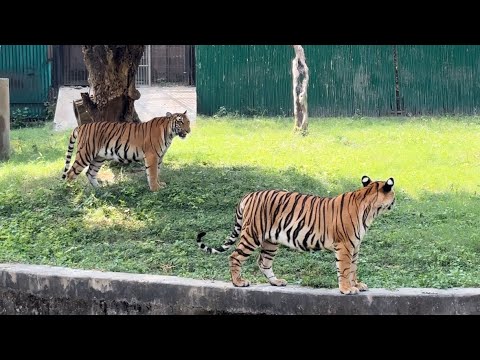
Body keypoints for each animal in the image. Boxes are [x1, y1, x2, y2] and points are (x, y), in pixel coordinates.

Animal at [62, 112, 191, 191]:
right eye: (180, 122)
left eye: (188, 122)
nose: (188, 131)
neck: (170, 134)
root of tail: (81, 126)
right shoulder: (152, 156)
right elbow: (153, 173)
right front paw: (155, 189)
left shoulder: (160, 157)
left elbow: (157, 172)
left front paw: (160, 184)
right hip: (85, 154)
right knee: (70, 173)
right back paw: (70, 191)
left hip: (98, 158)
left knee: (90, 173)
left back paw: (99, 189)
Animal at [197, 176, 396, 294]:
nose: (395, 202)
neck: (370, 210)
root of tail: (248, 195)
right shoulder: (345, 245)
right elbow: (345, 269)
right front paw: (347, 289)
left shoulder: (355, 246)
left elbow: (353, 268)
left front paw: (357, 285)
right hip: (252, 235)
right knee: (235, 256)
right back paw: (238, 282)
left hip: (270, 241)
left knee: (263, 262)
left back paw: (276, 282)